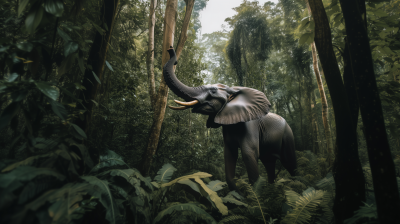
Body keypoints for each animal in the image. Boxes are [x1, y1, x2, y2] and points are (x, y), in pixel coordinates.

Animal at [162, 47, 296, 191]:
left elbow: (249, 154)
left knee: (289, 163)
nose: (170, 49)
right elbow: (229, 154)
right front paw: (237, 193)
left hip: (288, 135)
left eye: (213, 91)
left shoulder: (250, 126)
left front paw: (253, 193)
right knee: (269, 163)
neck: (233, 90)